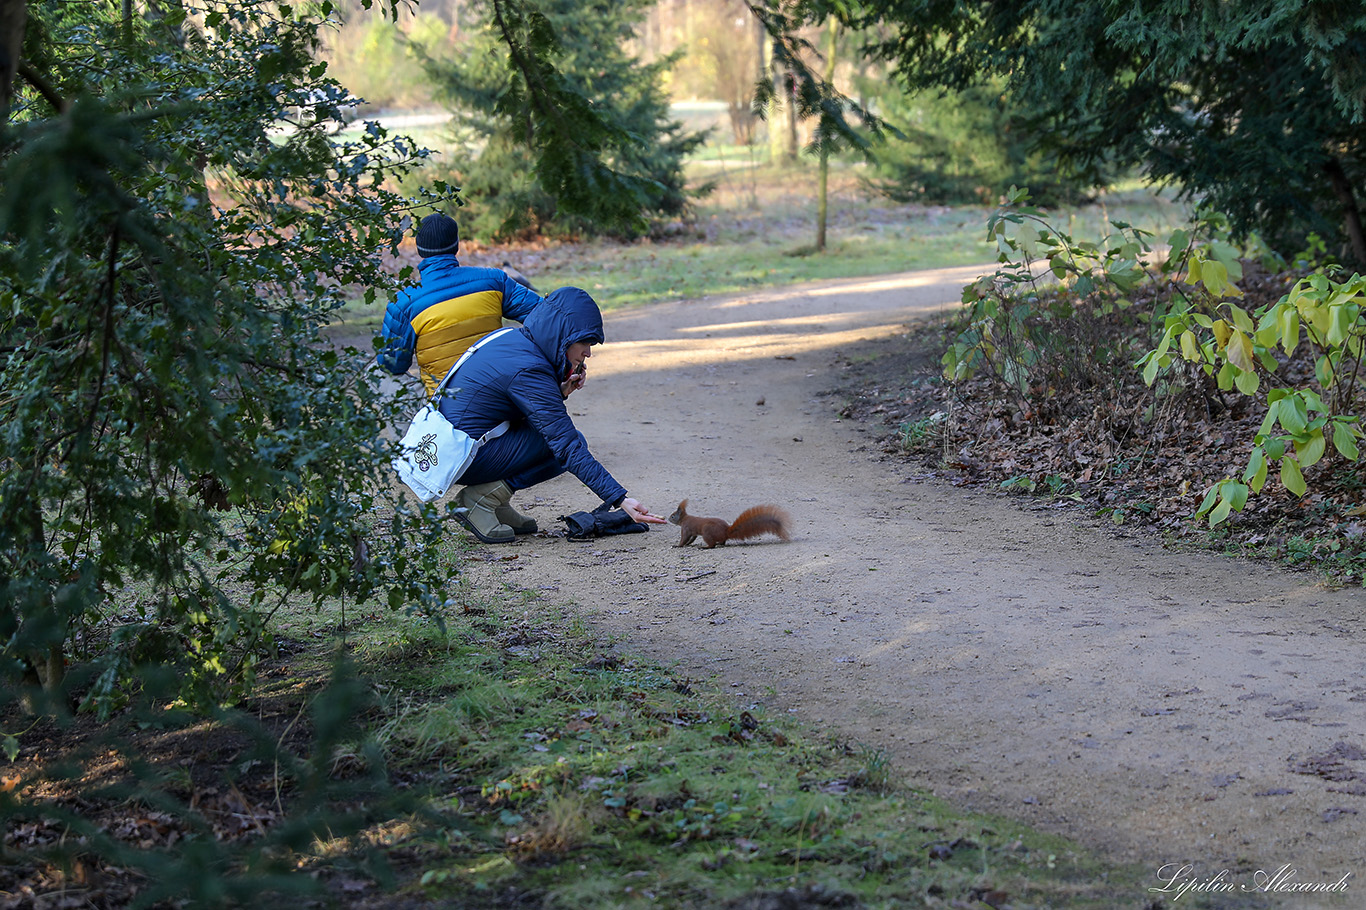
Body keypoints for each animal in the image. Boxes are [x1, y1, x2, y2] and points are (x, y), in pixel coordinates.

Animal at [663, 497, 792, 546]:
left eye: (673, 516)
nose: (668, 518)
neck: (684, 519)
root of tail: (726, 531)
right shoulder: (693, 532)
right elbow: (691, 538)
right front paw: (688, 544)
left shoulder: (686, 528)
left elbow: (684, 538)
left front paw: (678, 545)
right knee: (722, 541)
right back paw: (720, 543)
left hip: (706, 532)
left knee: (712, 545)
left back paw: (706, 547)